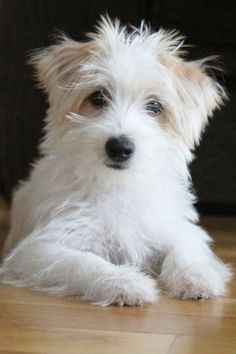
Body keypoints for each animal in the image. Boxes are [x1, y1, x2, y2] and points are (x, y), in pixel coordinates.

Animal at [0, 15, 232, 304]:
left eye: (155, 106)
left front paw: (196, 277)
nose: (120, 147)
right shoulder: (41, 248)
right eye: (98, 97)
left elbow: (184, 251)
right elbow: (84, 263)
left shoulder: (177, 229)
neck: (117, 184)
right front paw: (125, 282)